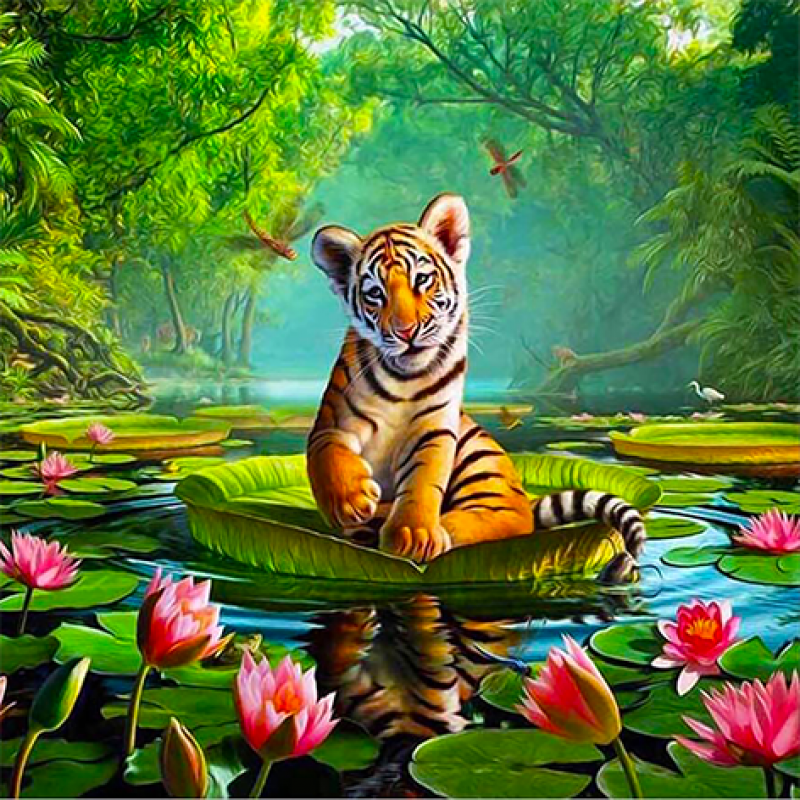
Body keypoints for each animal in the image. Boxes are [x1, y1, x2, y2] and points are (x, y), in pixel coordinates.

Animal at [308, 193, 645, 582]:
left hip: (480, 460)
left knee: (509, 521)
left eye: (422, 280)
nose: (406, 332)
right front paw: (351, 501)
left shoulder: (435, 429)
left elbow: (424, 478)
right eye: (375, 293)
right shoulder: (332, 421)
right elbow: (328, 454)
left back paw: (440, 529)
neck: (404, 378)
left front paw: (413, 535)